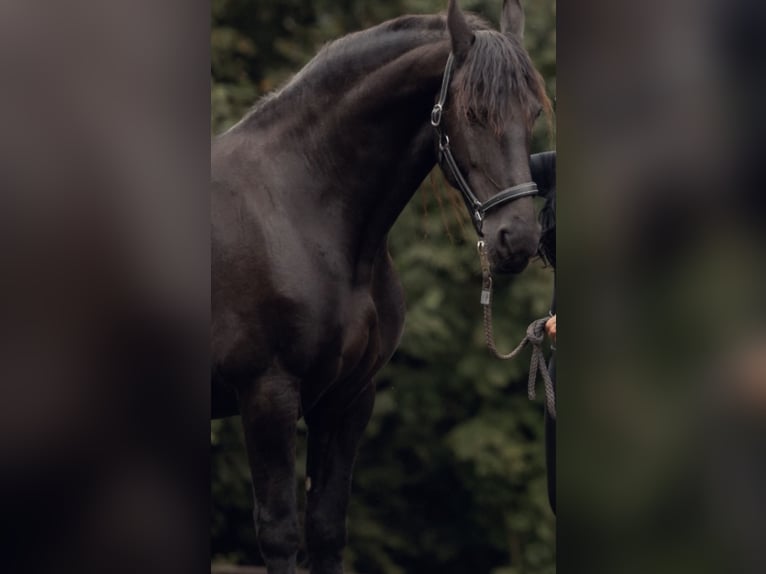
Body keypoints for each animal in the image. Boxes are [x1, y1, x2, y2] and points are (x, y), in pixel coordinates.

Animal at [211, 1, 551, 572]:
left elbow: (326, 529)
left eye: (534, 115)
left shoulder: (349, 398)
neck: (301, 210)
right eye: (474, 113)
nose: (519, 238)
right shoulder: (267, 393)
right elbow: (280, 533)